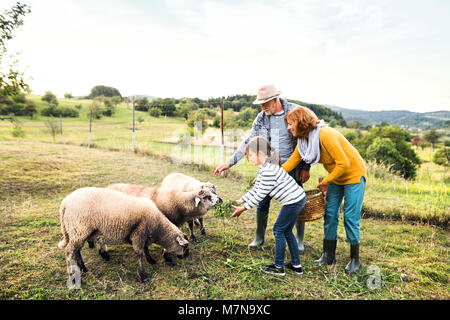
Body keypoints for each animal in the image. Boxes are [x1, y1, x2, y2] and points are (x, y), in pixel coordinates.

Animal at [57, 188, 188, 282]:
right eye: (185, 246)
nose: (186, 256)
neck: (158, 228)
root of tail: (64, 203)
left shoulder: (144, 234)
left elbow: (145, 248)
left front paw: (150, 259)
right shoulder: (139, 233)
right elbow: (139, 253)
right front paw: (142, 275)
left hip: (77, 232)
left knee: (76, 251)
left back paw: (83, 268)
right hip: (79, 229)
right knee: (69, 253)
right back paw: (72, 276)